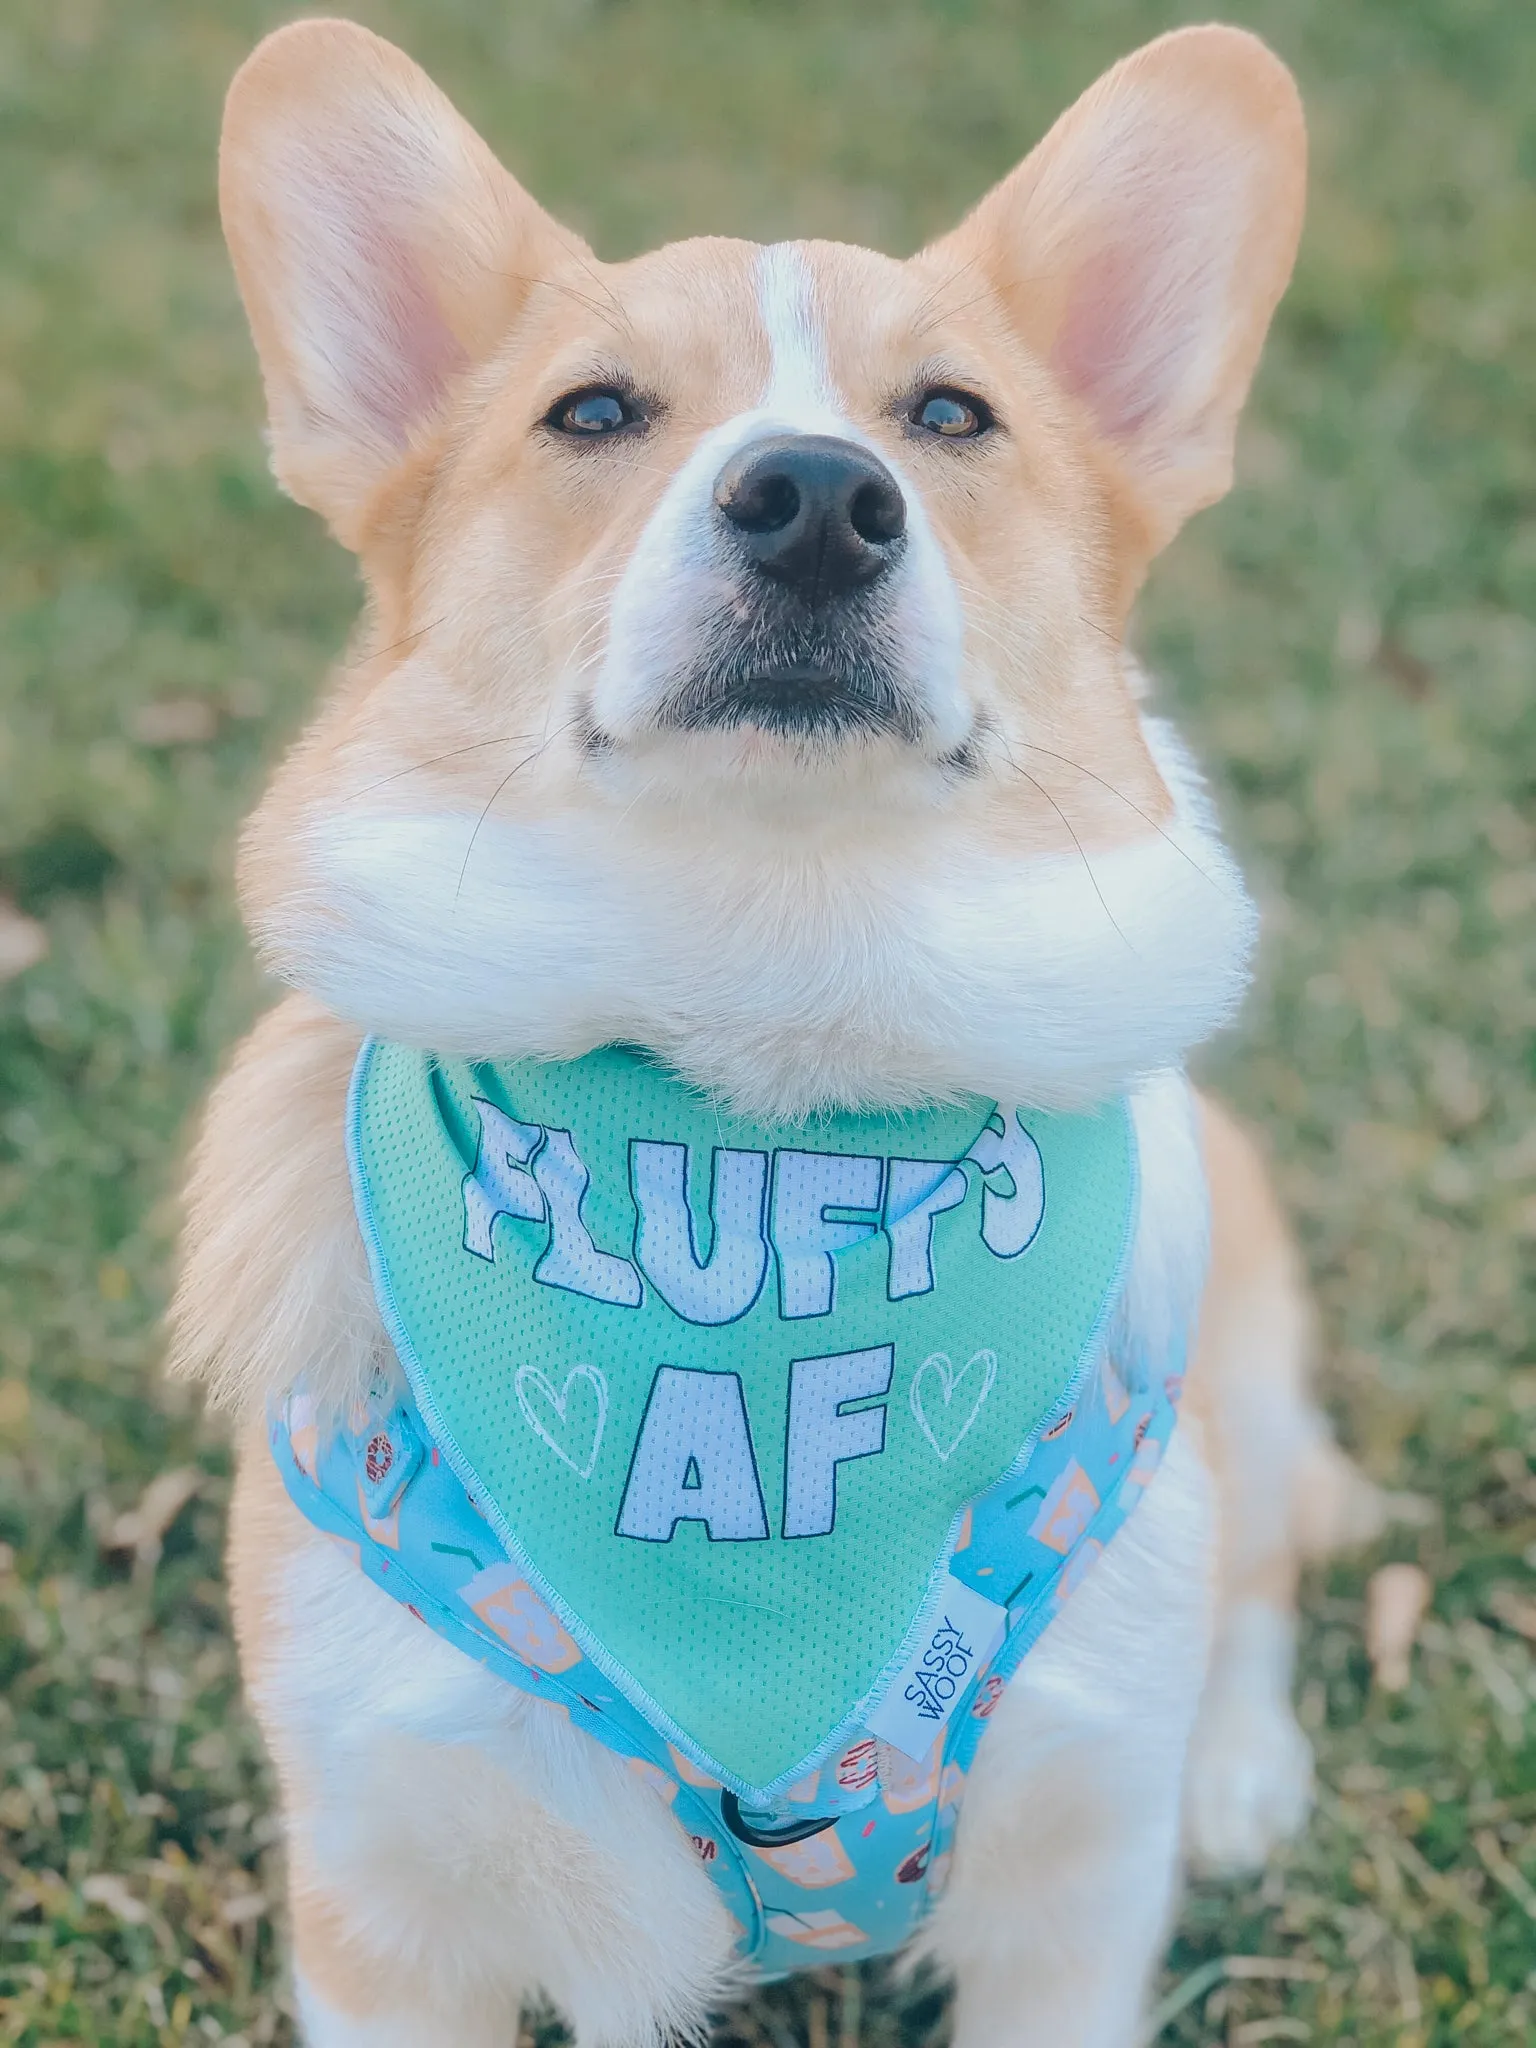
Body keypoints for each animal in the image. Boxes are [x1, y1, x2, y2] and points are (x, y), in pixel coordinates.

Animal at [174, 19, 1376, 2048]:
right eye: (591, 413)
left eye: (951, 419)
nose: (816, 497)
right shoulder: (385, 1887)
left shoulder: (1073, 1897)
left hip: (1255, 1361)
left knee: (1270, 1560)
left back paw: (1243, 1766)